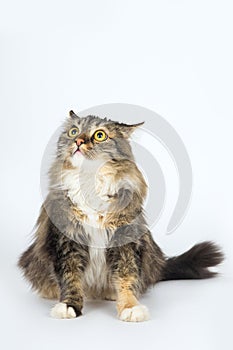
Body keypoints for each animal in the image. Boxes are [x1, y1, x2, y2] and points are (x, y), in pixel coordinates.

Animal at [18, 110, 224, 322]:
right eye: (73, 131)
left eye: (100, 135)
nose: (78, 141)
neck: (91, 183)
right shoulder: (66, 240)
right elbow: (71, 279)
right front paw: (69, 305)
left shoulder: (125, 240)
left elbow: (126, 278)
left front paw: (130, 307)